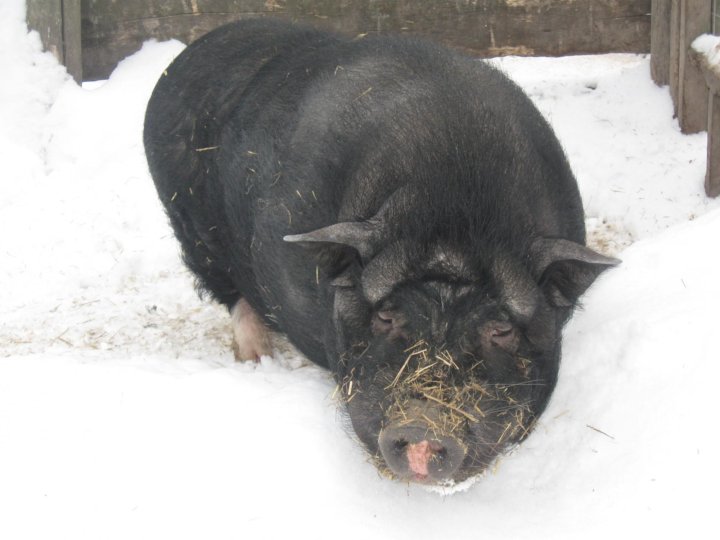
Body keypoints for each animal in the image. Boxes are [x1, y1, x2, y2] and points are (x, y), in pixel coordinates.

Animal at [143, 20, 616, 486]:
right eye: (386, 317)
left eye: (501, 329)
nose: (423, 431)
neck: (457, 209)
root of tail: (189, 52)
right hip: (188, 223)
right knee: (227, 290)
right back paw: (258, 359)